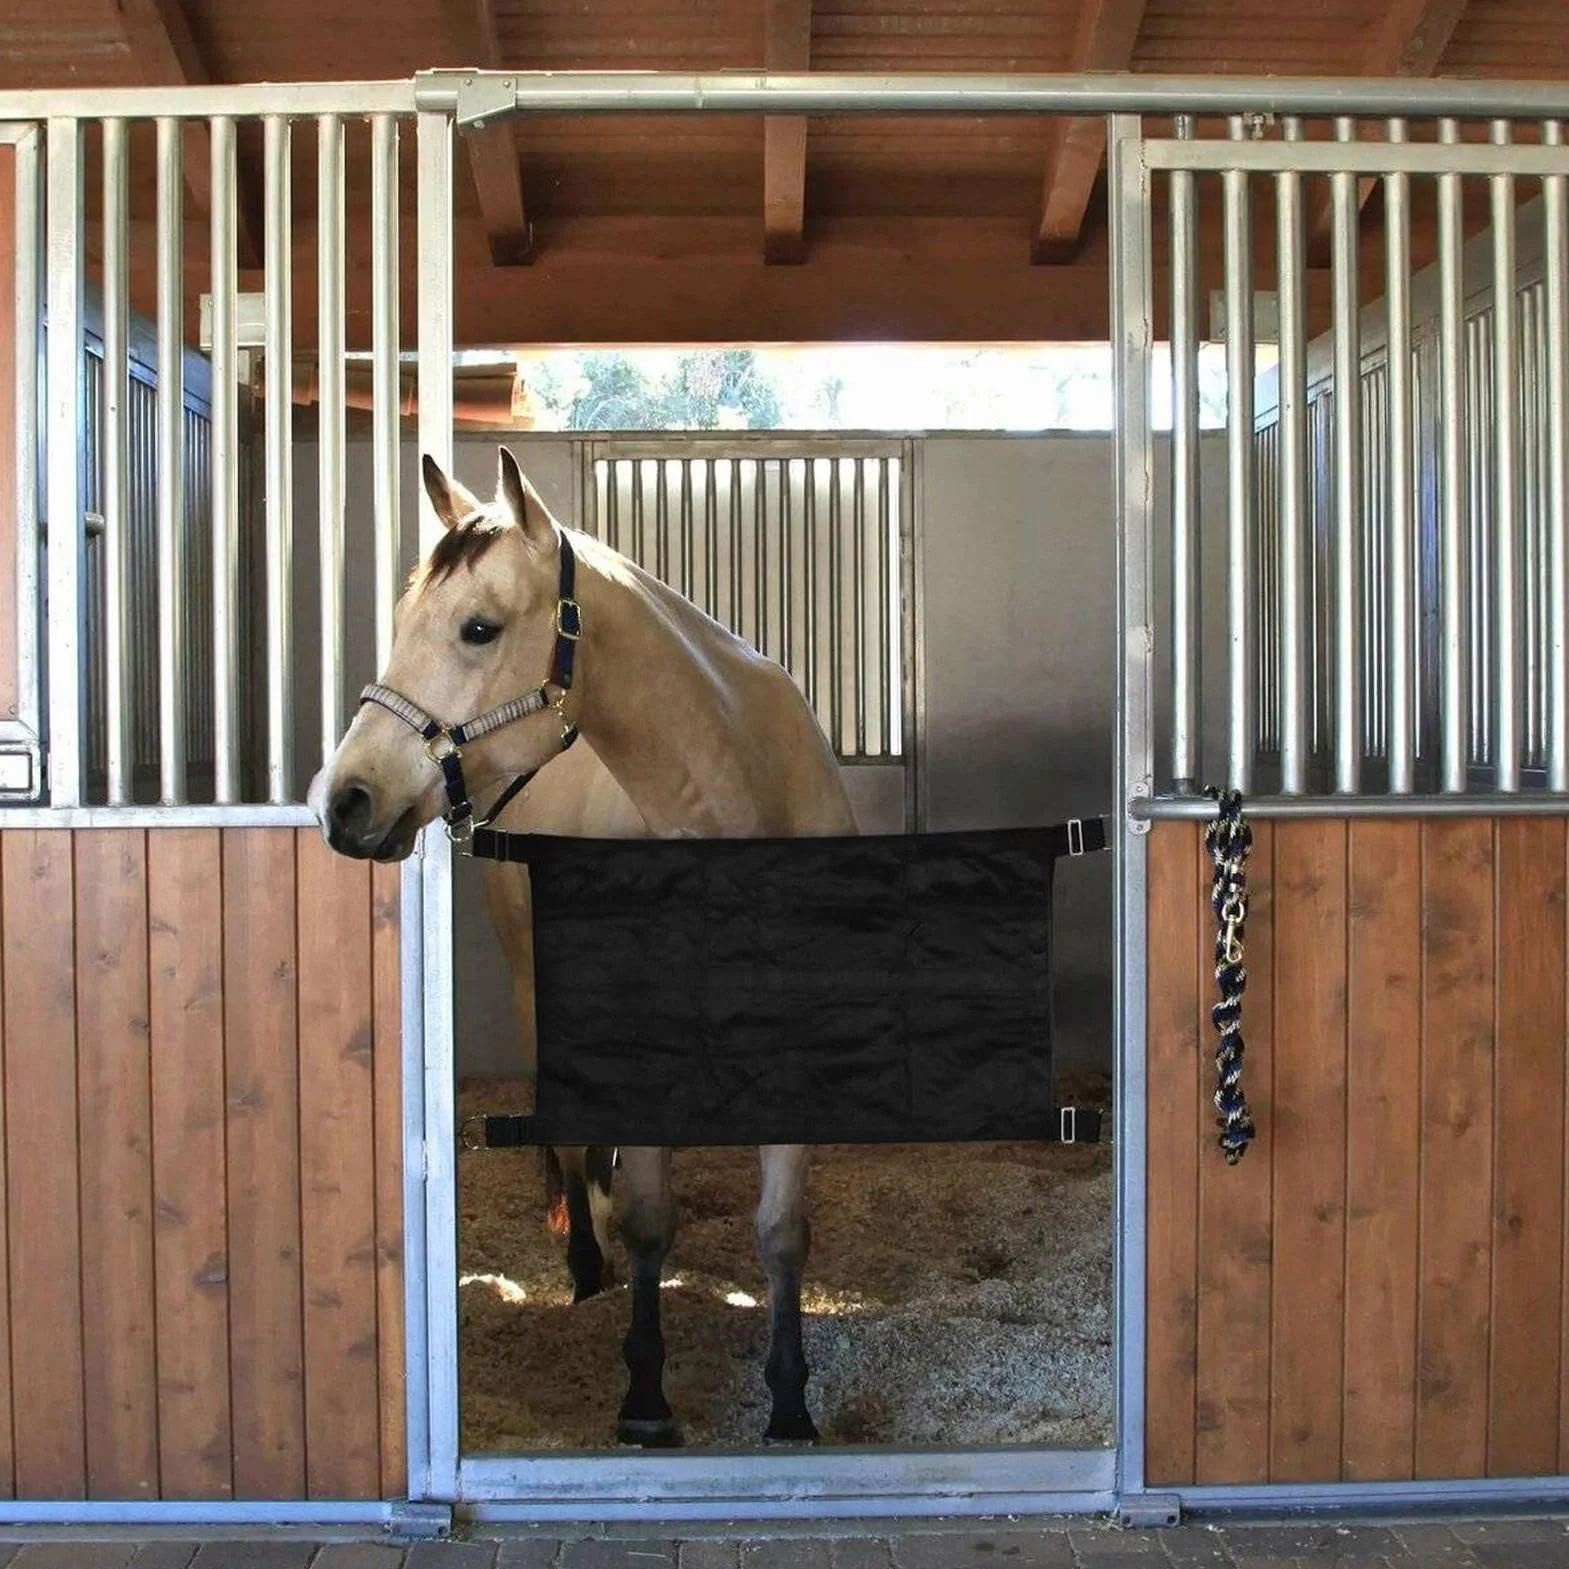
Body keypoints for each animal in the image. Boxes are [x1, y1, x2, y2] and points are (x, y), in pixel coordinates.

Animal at [308, 444, 857, 1447]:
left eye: (477, 627)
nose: (344, 800)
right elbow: (646, 1219)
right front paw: (643, 1394)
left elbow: (780, 1230)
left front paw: (790, 1398)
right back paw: (583, 1264)